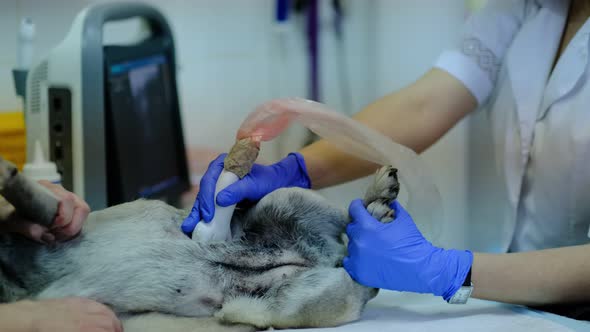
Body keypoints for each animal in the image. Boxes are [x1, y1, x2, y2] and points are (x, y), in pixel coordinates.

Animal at [0, 167, 402, 328]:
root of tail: (323, 259)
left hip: (288, 197)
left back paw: (378, 203)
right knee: (356, 276)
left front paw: (9, 176)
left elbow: (36, 199)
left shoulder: (54, 220)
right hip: (291, 297)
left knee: (348, 221)